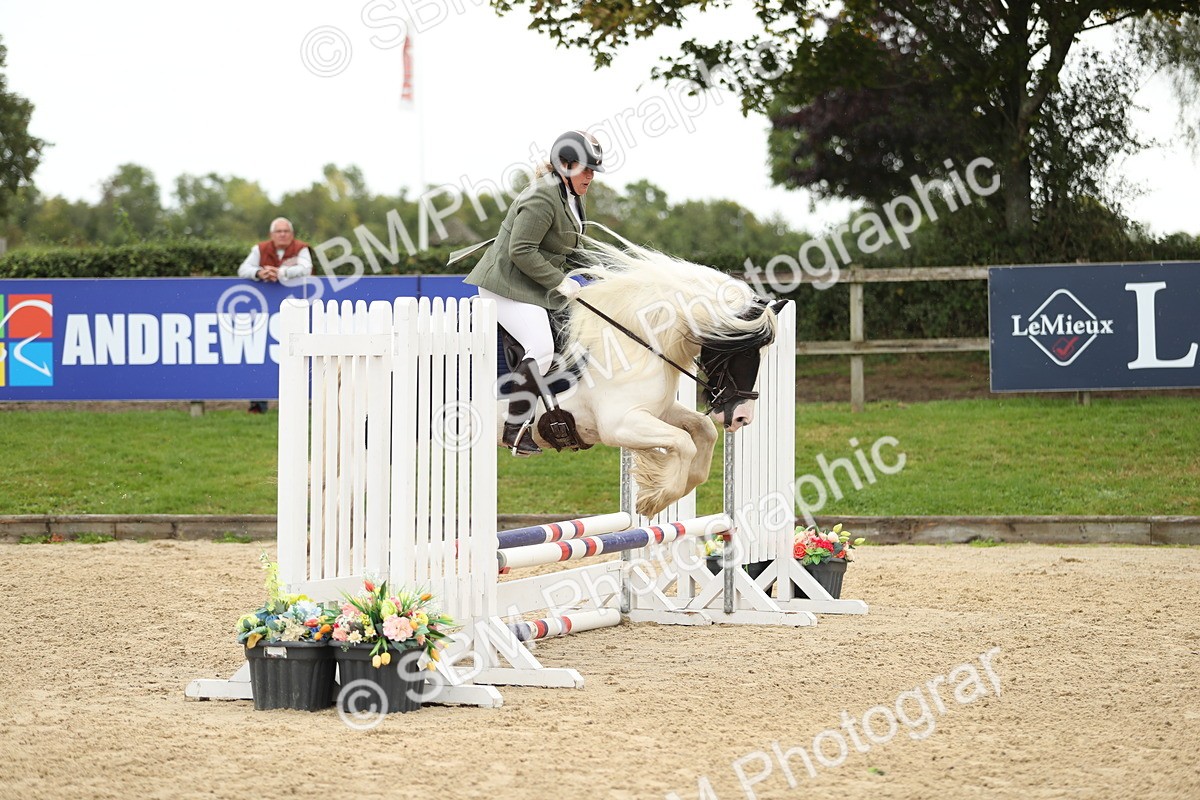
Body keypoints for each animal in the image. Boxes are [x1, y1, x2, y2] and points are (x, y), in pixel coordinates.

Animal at [495, 238, 786, 518]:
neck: (633, 337)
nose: (742, 418)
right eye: (745, 351)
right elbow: (684, 443)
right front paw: (654, 500)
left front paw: (664, 483)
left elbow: (704, 431)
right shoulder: (620, 424)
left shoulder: (656, 411)